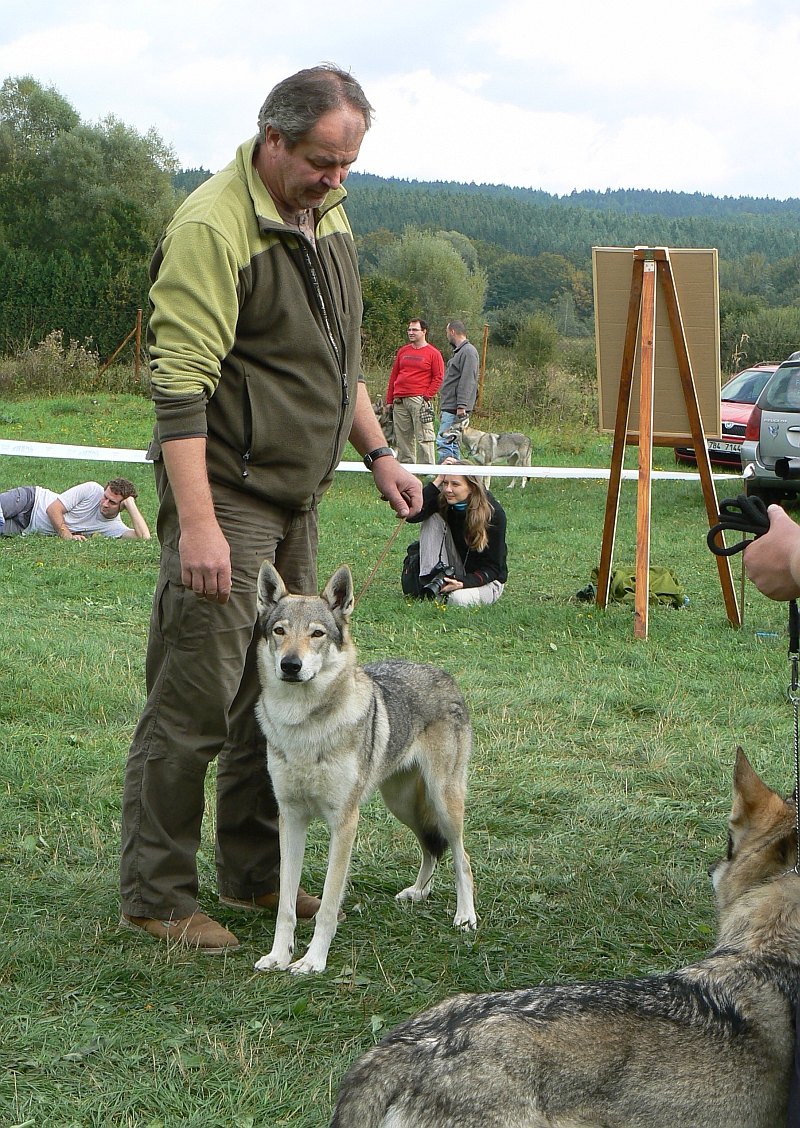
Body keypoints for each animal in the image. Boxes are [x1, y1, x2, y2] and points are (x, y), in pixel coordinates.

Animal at [252, 559, 473, 974]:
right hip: (401, 804)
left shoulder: (345, 822)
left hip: (443, 802)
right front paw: (279, 956)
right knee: (430, 849)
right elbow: (286, 905)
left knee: (461, 858)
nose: (291, 665)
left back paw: (465, 917)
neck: (303, 726)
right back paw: (418, 892)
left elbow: (327, 905)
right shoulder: (290, 818)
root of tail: (444, 674)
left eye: (317, 634)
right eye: (279, 631)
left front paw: (312, 961)